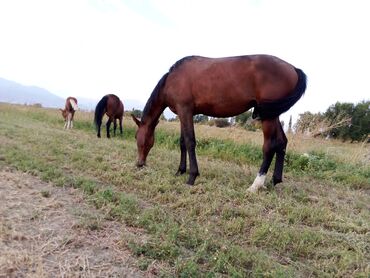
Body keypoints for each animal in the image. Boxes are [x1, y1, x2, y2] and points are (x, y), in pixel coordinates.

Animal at [132, 55, 308, 192]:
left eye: (137, 137)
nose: (139, 163)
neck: (172, 79)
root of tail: (293, 68)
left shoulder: (185, 110)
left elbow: (190, 142)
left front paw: (191, 177)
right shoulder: (183, 114)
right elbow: (182, 143)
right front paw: (180, 171)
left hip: (268, 117)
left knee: (270, 146)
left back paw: (255, 185)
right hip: (273, 114)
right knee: (282, 142)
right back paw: (274, 181)